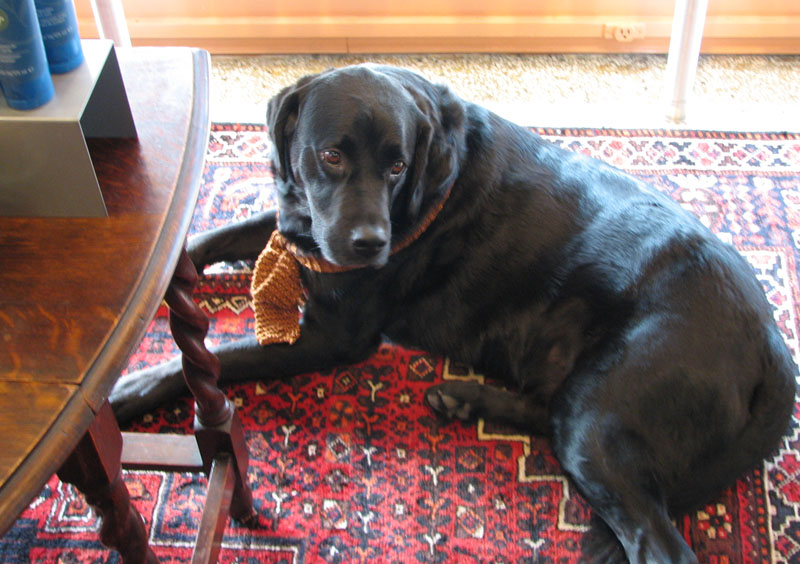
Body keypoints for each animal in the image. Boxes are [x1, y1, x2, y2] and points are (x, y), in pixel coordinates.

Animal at [111, 64, 796, 563]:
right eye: (331, 156)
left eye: (396, 165)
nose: (370, 244)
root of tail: (772, 343)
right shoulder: (297, 226)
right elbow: (213, 237)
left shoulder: (335, 334)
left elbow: (215, 359)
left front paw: (128, 389)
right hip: (585, 398)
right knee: (551, 413)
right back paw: (466, 399)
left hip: (606, 411)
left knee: (654, 538)